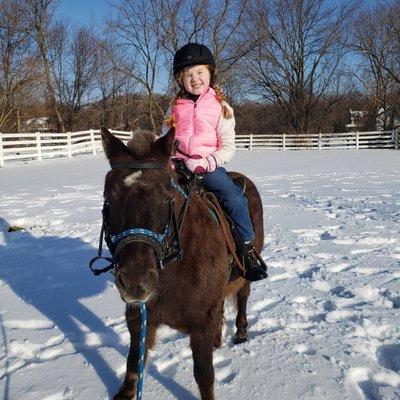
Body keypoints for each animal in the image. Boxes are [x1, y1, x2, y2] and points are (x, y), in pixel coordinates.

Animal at [99, 127, 266, 400]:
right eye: (108, 198)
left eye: (167, 196)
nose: (136, 282)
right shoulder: (140, 318)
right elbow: (133, 366)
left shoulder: (199, 326)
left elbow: (205, 377)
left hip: (245, 275)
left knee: (242, 296)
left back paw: (241, 332)